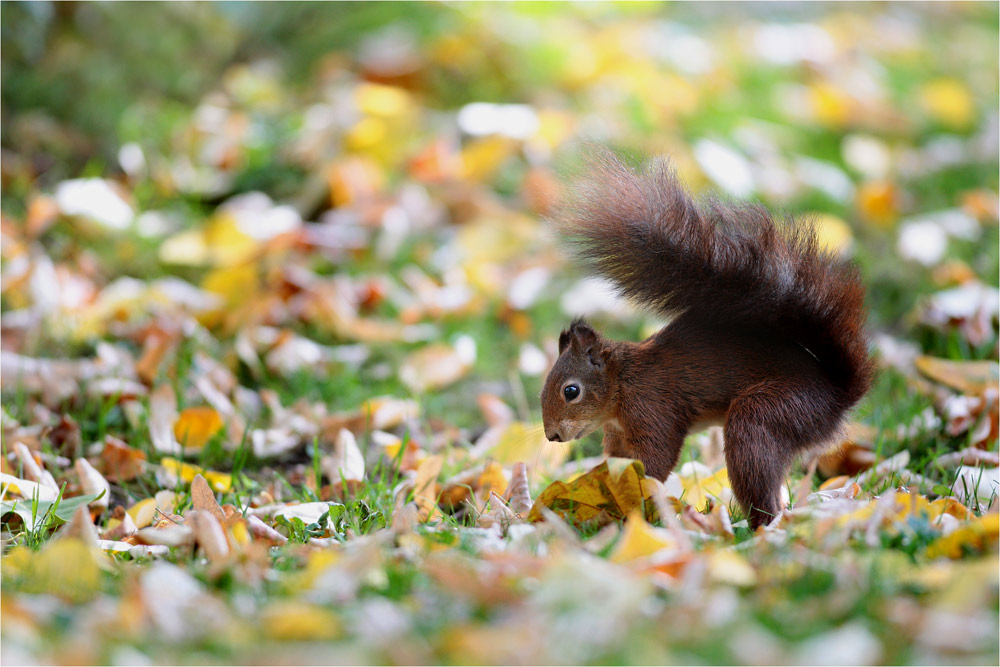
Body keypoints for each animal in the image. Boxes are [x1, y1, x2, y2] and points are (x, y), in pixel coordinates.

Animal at [540, 149, 876, 528]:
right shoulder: (618, 434)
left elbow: (656, 460)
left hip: (768, 415)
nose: (551, 435)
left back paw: (755, 527)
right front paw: (609, 493)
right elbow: (619, 463)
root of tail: (838, 395)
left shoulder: (654, 408)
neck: (622, 383)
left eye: (571, 391)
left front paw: (638, 501)